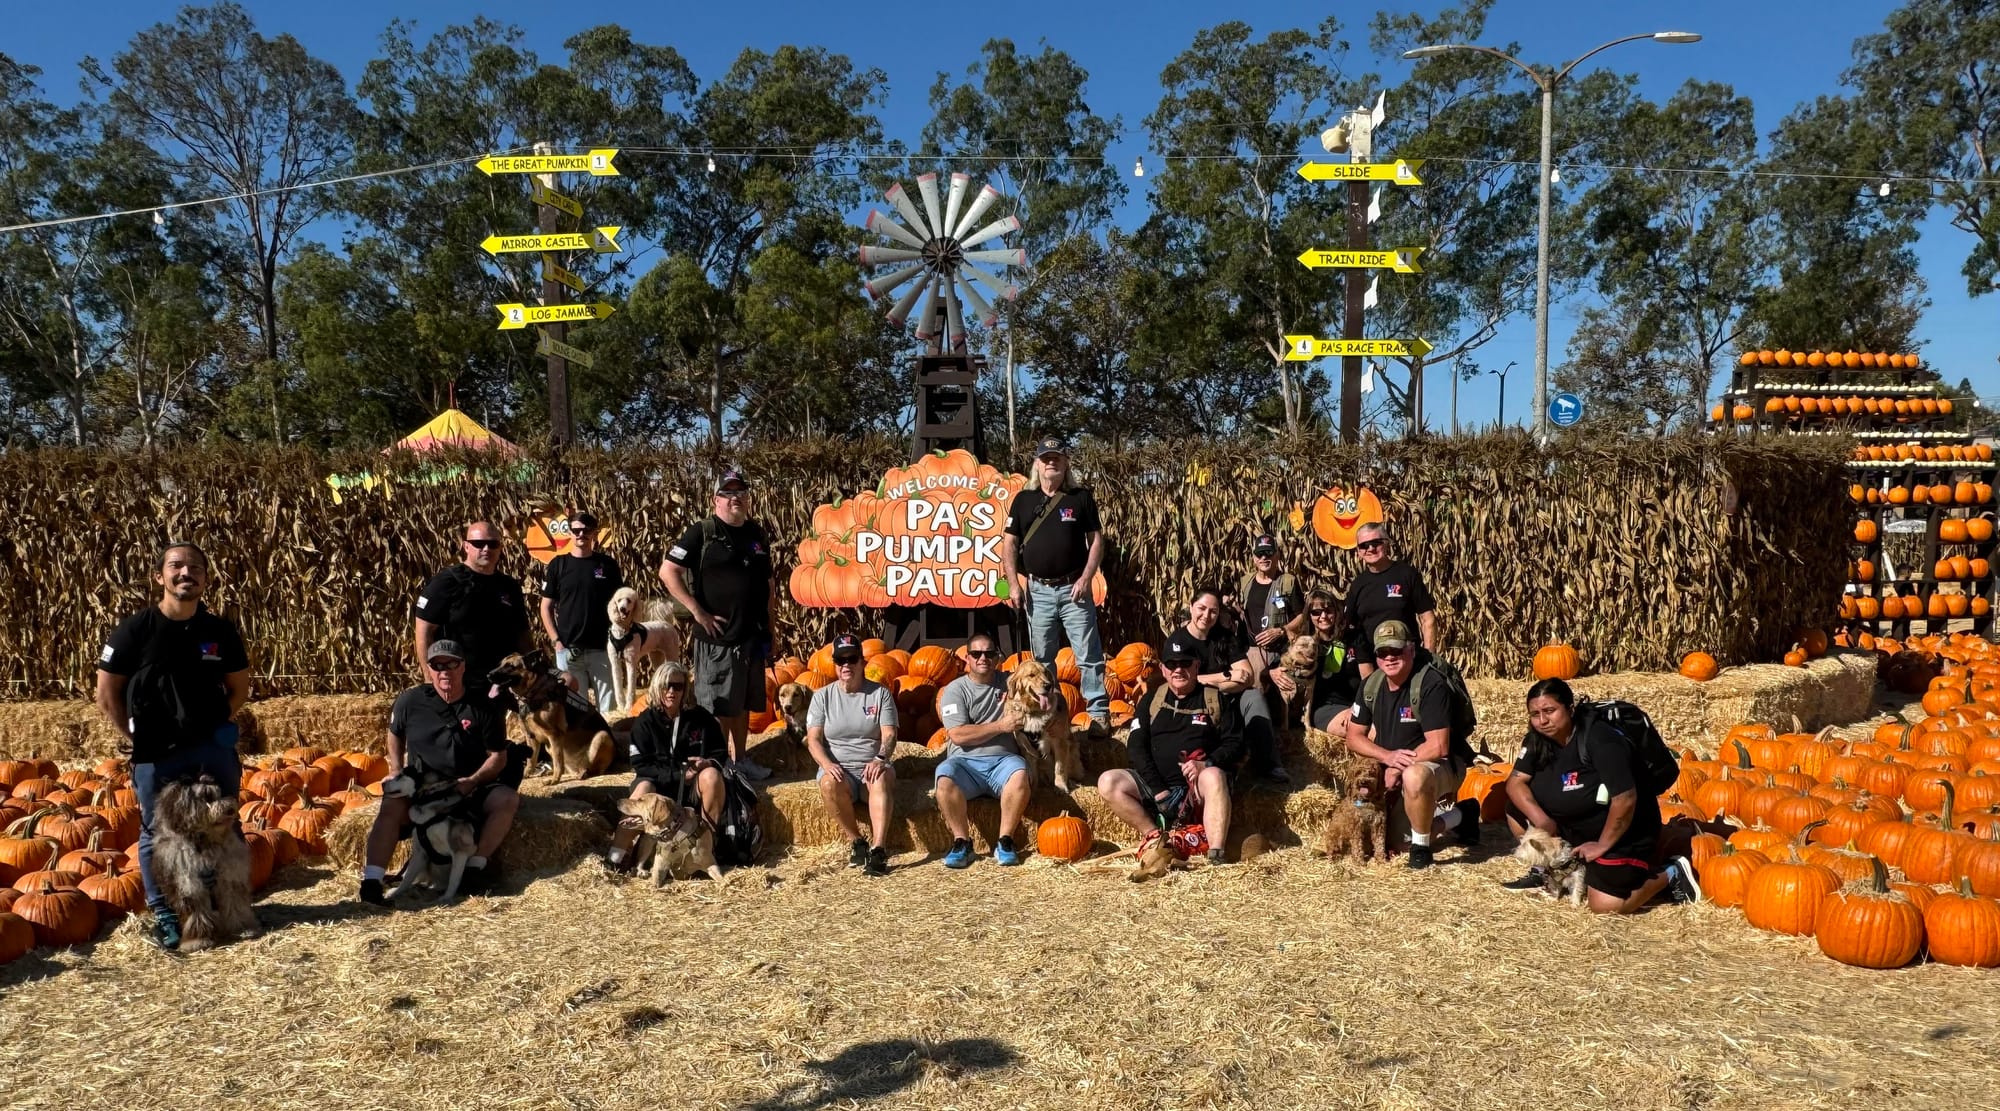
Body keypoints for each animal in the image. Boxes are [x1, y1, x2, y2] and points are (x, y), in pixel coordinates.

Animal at [152, 775, 262, 951]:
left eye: (219, 793)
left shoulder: (229, 878)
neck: (204, 843)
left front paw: (244, 929)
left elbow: (235, 905)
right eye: (207, 798)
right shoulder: (189, 885)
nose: (230, 809)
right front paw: (197, 940)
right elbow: (197, 915)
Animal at [378, 767, 480, 907]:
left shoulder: (460, 850)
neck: (427, 800)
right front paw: (396, 892)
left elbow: (454, 879)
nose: (381, 784)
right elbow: (407, 878)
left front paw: (446, 898)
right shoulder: (420, 852)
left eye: (401, 775)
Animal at [490, 647, 612, 787]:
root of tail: (577, 768)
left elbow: (558, 761)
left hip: (602, 736)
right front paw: (527, 774)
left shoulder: (554, 735)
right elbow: (532, 760)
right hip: (549, 747)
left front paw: (555, 780)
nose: (488, 675)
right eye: (500, 664)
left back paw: (583, 773)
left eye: (510, 666)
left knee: (593, 768)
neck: (533, 692)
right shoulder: (531, 737)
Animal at [996, 659, 1080, 791]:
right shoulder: (1026, 747)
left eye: (1045, 673)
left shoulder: (1059, 741)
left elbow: (1060, 767)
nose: (1048, 685)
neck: (1033, 712)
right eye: (1031, 675)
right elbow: (1033, 771)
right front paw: (1034, 788)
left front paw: (1060, 786)